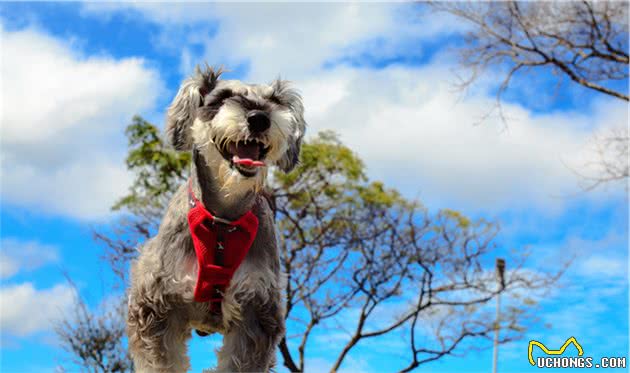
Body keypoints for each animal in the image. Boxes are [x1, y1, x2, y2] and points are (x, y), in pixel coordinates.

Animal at [126, 67, 306, 372]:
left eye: (274, 101)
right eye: (223, 97)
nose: (259, 118)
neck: (223, 221)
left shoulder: (256, 311)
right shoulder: (156, 306)